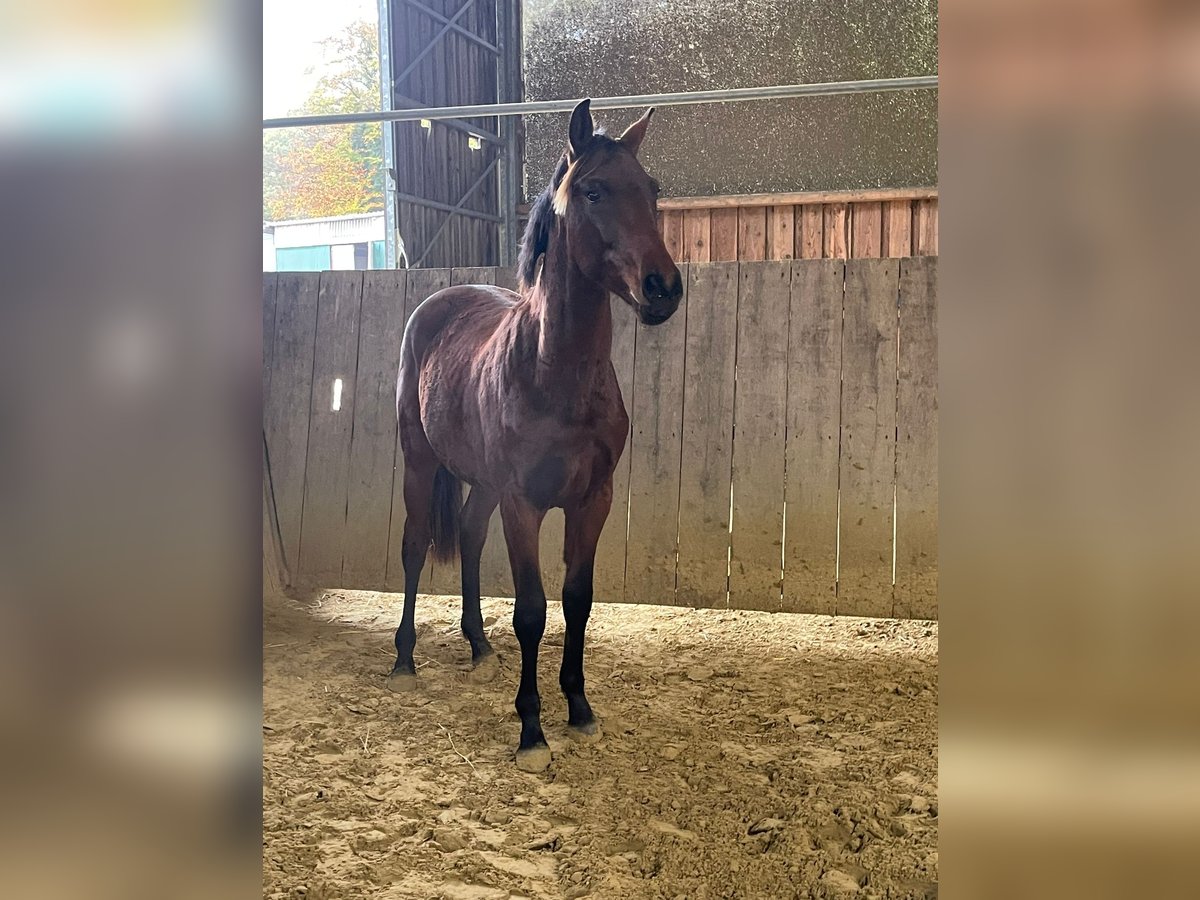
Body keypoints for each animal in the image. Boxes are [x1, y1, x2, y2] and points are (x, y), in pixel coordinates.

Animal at [388, 102, 681, 772]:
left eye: (652, 190)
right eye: (594, 191)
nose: (663, 288)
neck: (557, 371)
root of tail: (436, 304)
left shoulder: (592, 501)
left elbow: (577, 600)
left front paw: (579, 708)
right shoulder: (524, 505)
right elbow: (531, 611)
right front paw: (531, 731)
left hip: (484, 485)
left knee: (469, 534)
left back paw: (477, 647)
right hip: (420, 463)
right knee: (415, 546)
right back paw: (404, 659)